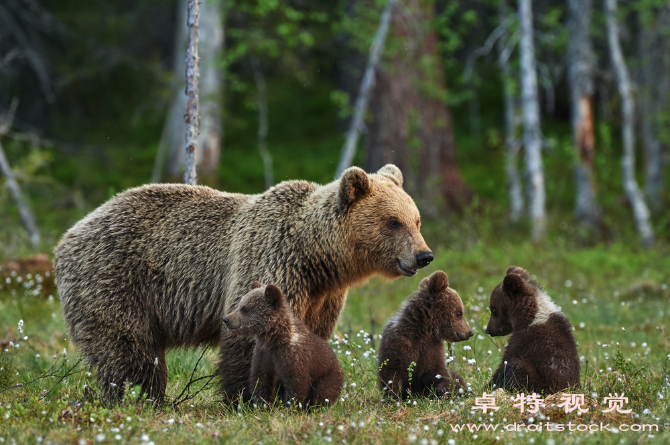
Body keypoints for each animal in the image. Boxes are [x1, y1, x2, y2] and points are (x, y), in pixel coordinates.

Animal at [53, 165, 436, 400]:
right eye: (393, 222)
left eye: (416, 220)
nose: (424, 255)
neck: (317, 257)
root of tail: (68, 236)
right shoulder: (271, 260)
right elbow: (251, 336)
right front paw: (249, 397)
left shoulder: (323, 296)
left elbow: (311, 335)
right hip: (115, 281)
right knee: (127, 347)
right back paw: (140, 396)